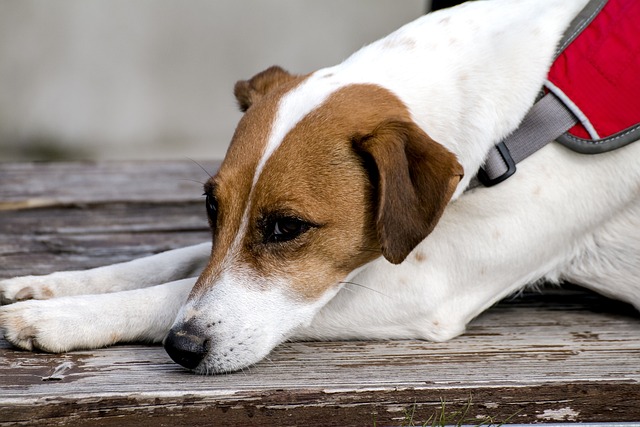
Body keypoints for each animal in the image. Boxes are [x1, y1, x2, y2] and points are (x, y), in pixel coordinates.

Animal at [1, 0, 640, 374]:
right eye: (210, 206)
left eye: (288, 227)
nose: (183, 349)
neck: (530, 111)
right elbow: (172, 263)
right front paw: (48, 287)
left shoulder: (422, 286)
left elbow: (168, 293)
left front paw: (56, 319)